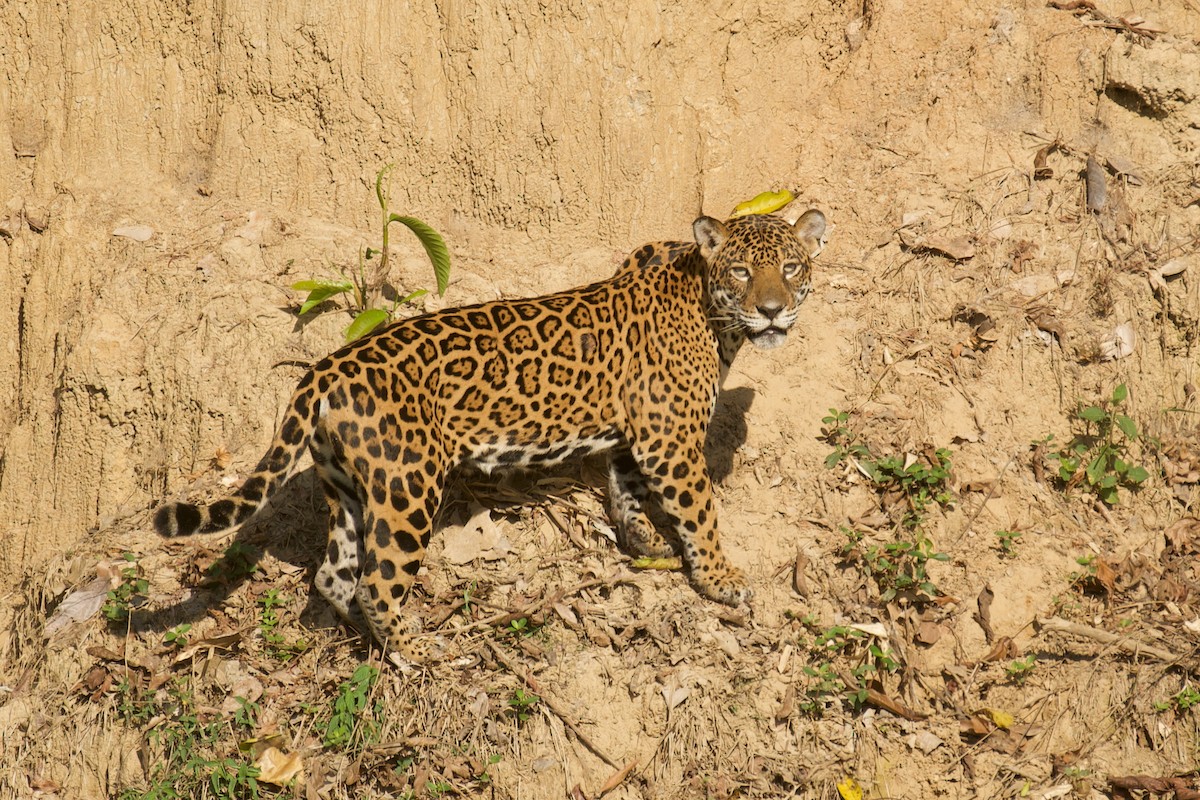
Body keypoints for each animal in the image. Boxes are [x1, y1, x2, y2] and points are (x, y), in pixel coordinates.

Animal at [154, 208, 827, 663]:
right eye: (741, 271)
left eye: (791, 267)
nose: (773, 310)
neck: (713, 316)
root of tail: (326, 367)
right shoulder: (671, 441)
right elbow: (700, 514)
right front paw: (720, 579)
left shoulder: (636, 432)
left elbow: (626, 486)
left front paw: (641, 540)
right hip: (406, 489)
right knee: (377, 583)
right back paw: (418, 652)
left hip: (347, 486)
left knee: (334, 575)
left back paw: (363, 641)